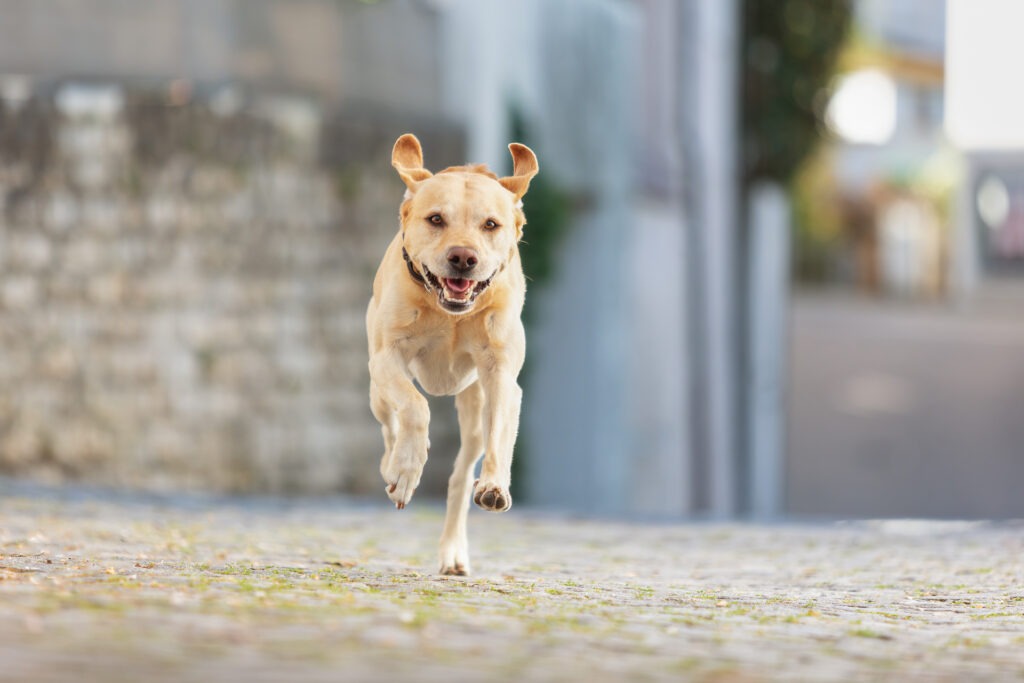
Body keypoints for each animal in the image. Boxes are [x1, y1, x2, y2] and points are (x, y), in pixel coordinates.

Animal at [370, 133, 544, 577]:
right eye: (435, 219)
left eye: (491, 225)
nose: (464, 258)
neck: (449, 312)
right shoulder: (385, 358)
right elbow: (414, 407)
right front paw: (405, 469)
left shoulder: (501, 376)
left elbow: (500, 435)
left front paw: (496, 485)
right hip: (377, 393)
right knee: (391, 424)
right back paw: (393, 467)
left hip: (473, 404)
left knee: (461, 476)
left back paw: (453, 552)